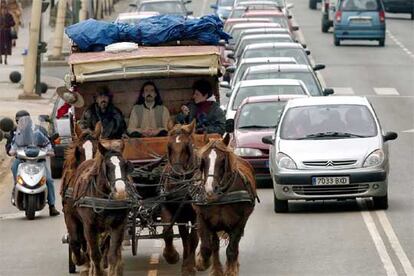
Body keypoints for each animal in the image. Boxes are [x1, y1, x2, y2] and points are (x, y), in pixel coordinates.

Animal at [60, 123, 100, 272]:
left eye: (97, 148)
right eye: (78, 150)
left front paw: (85, 258)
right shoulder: (69, 215)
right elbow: (75, 241)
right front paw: (78, 259)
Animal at [193, 136, 256, 276]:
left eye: (222, 160)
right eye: (203, 160)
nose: (210, 189)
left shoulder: (240, 221)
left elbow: (231, 248)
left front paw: (231, 269)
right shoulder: (202, 218)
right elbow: (207, 246)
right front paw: (202, 262)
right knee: (214, 245)